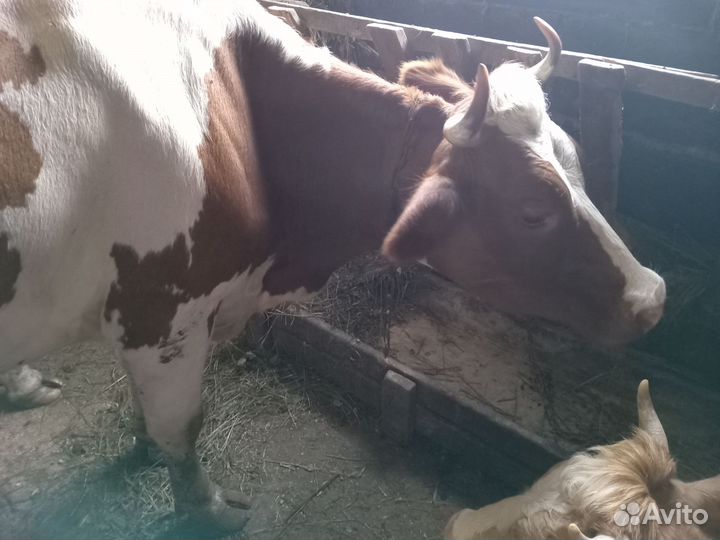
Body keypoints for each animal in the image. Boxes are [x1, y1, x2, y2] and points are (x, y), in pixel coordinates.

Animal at [0, 0, 665, 530]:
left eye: (575, 158)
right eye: (533, 211)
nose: (651, 296)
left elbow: (149, 413)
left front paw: (139, 447)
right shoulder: (164, 313)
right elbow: (182, 427)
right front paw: (207, 510)